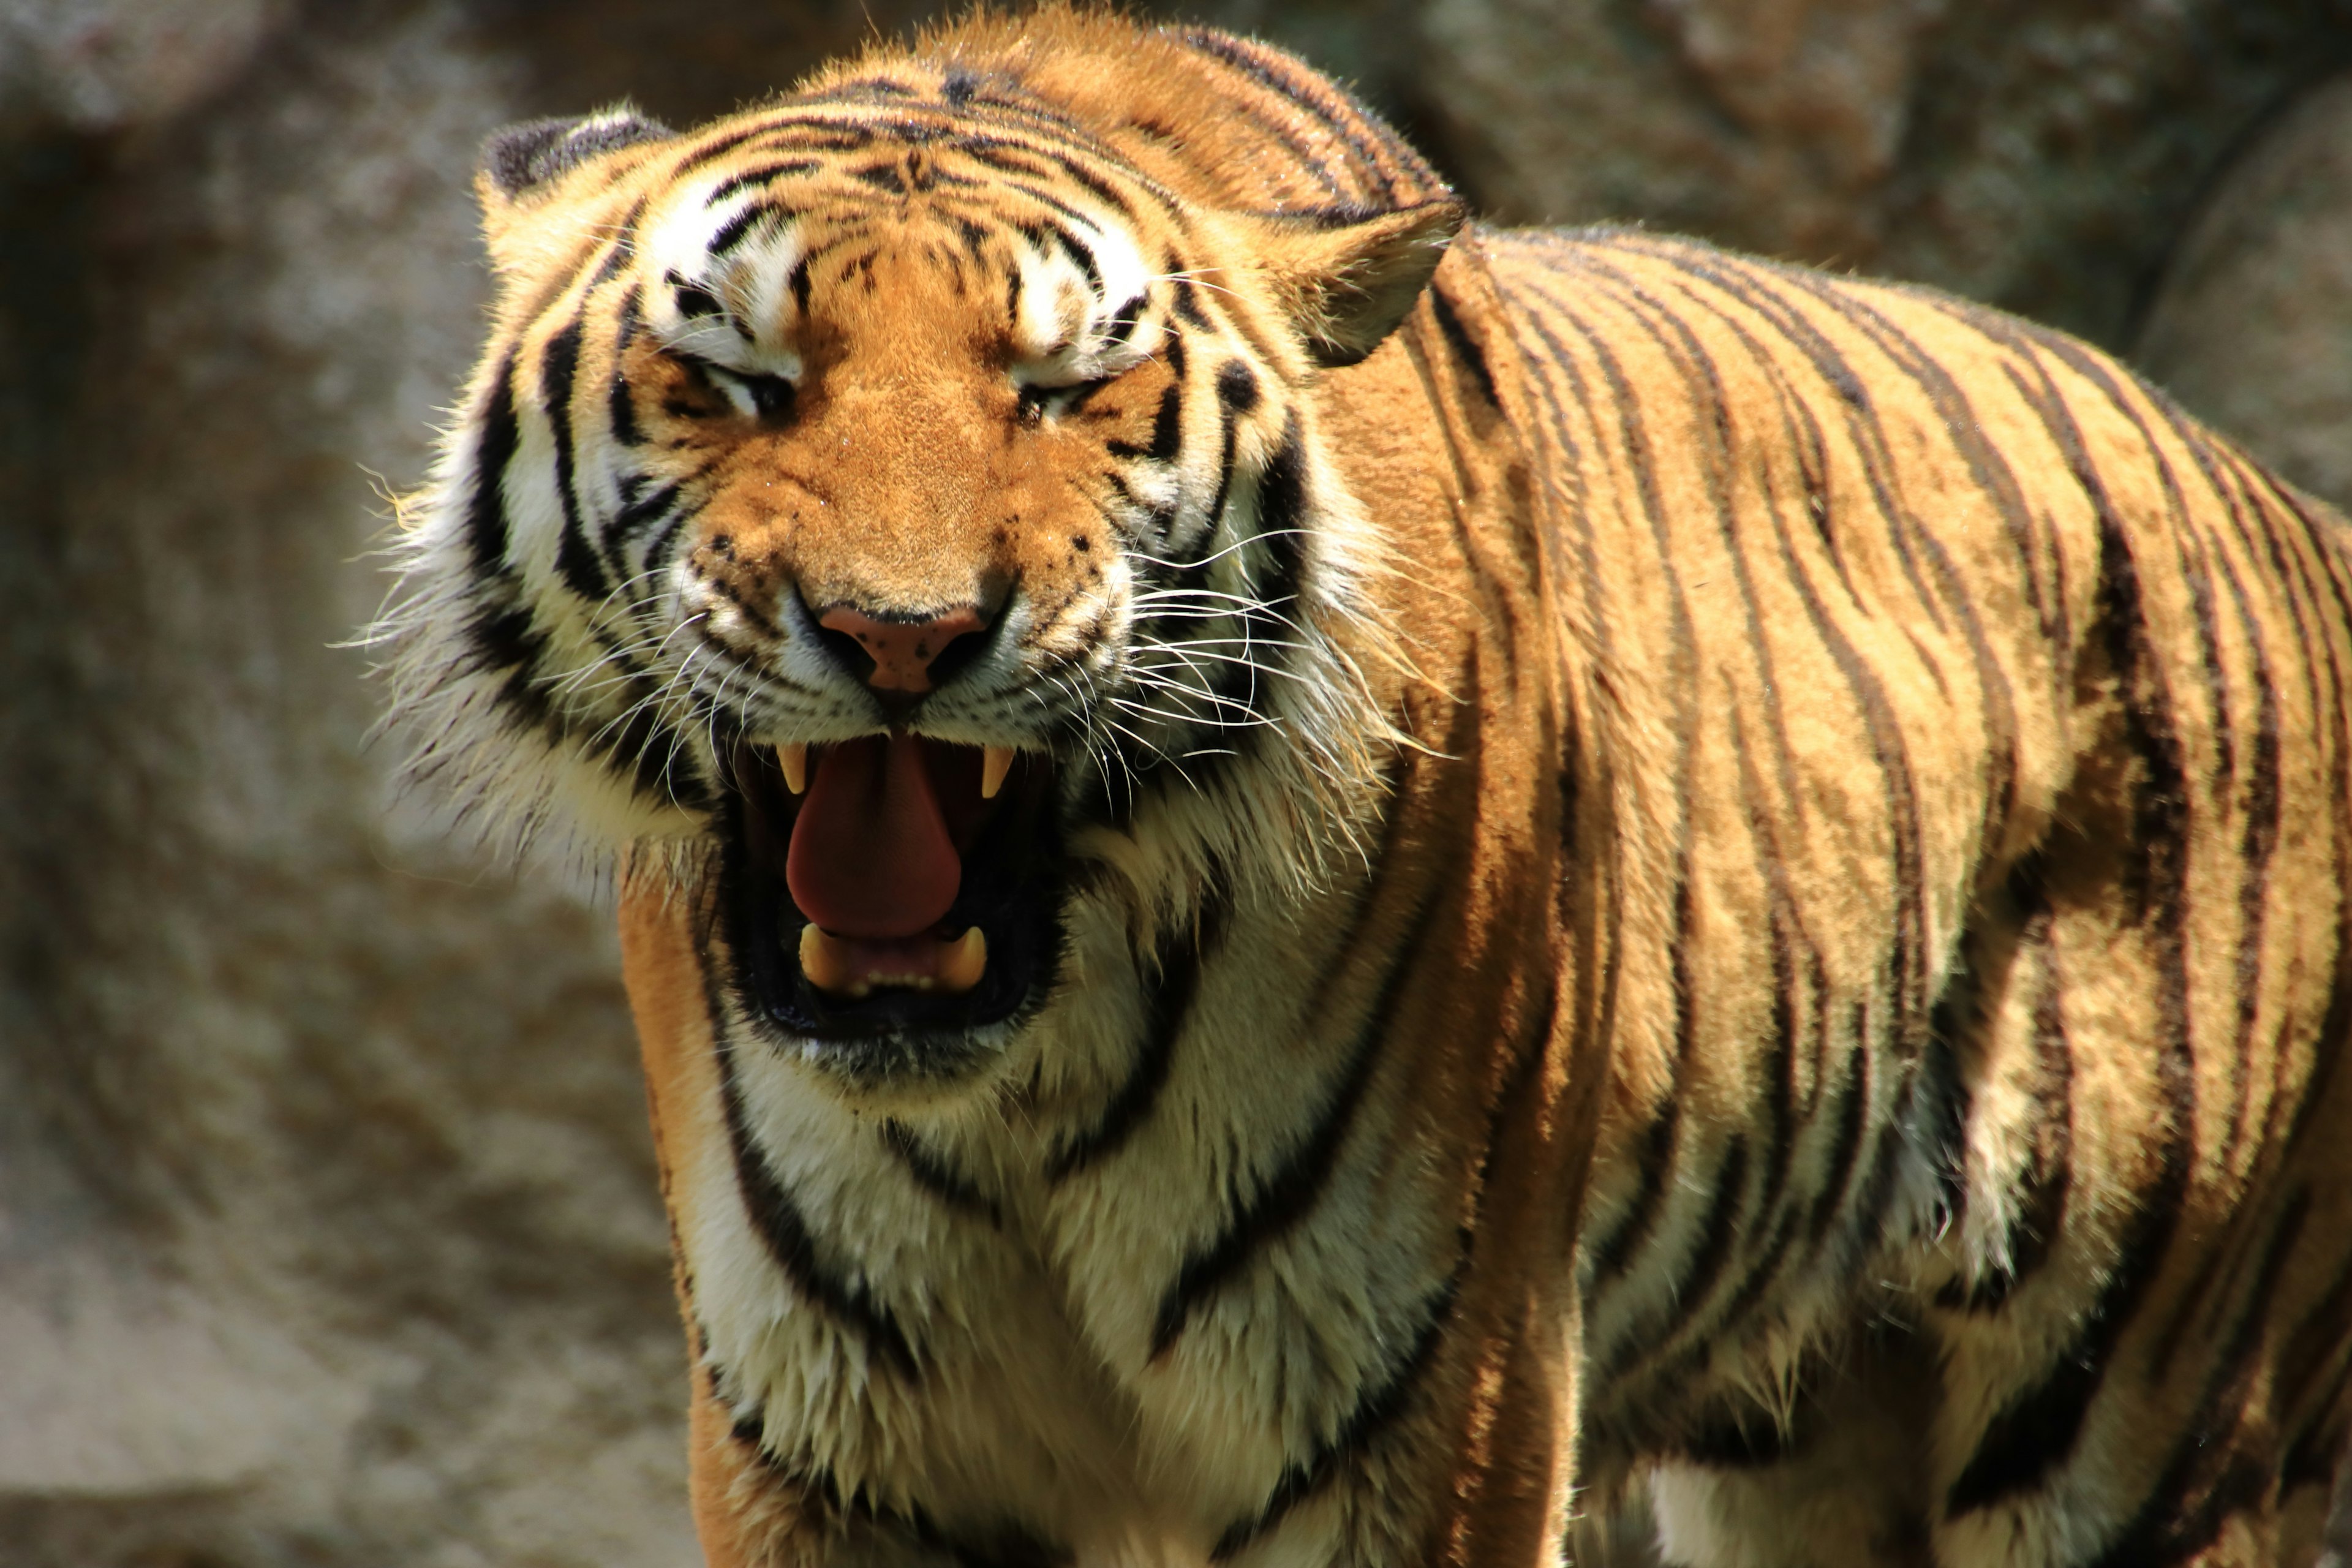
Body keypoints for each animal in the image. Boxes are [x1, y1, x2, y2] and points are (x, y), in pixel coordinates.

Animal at [376, 6, 2352, 1561]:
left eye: (1065, 390)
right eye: (736, 376)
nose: (899, 635)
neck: (1015, 1077)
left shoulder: (1431, 1395)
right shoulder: (821, 1434)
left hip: (2139, 1415)